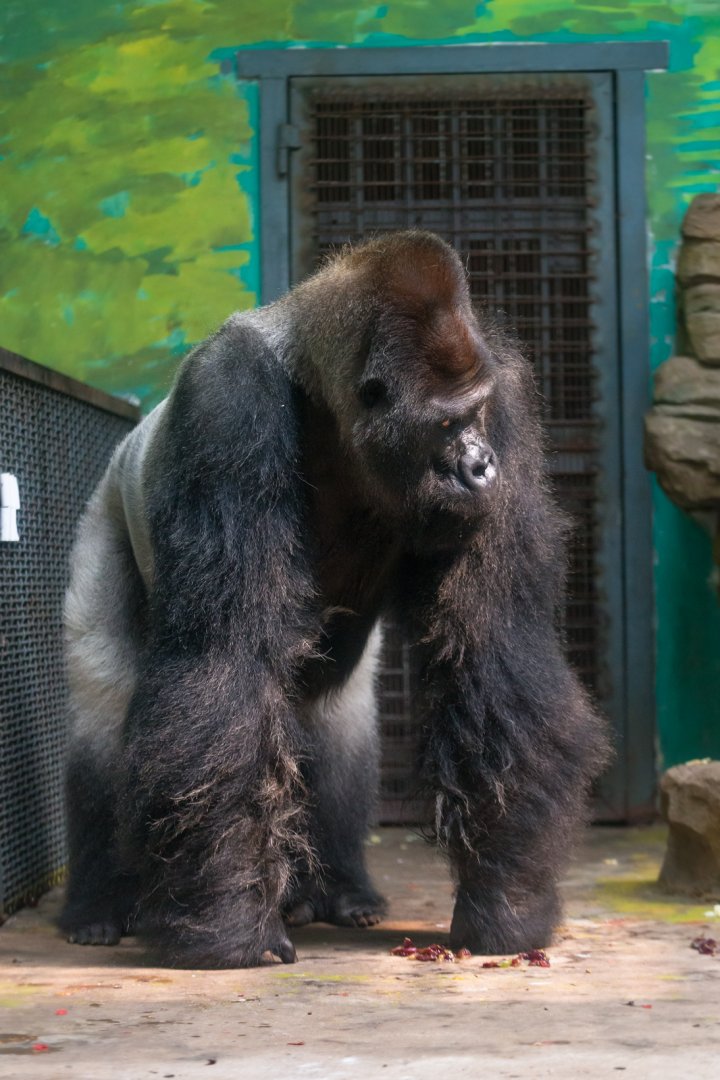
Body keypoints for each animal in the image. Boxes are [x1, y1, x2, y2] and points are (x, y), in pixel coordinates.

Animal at [58, 230, 608, 967]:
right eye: (446, 426)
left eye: (475, 416)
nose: (482, 466)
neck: (322, 390)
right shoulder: (227, 401)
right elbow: (225, 657)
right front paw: (228, 923)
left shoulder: (508, 399)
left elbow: (495, 651)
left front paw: (507, 900)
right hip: (103, 513)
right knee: (105, 705)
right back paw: (97, 907)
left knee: (337, 718)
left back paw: (338, 890)